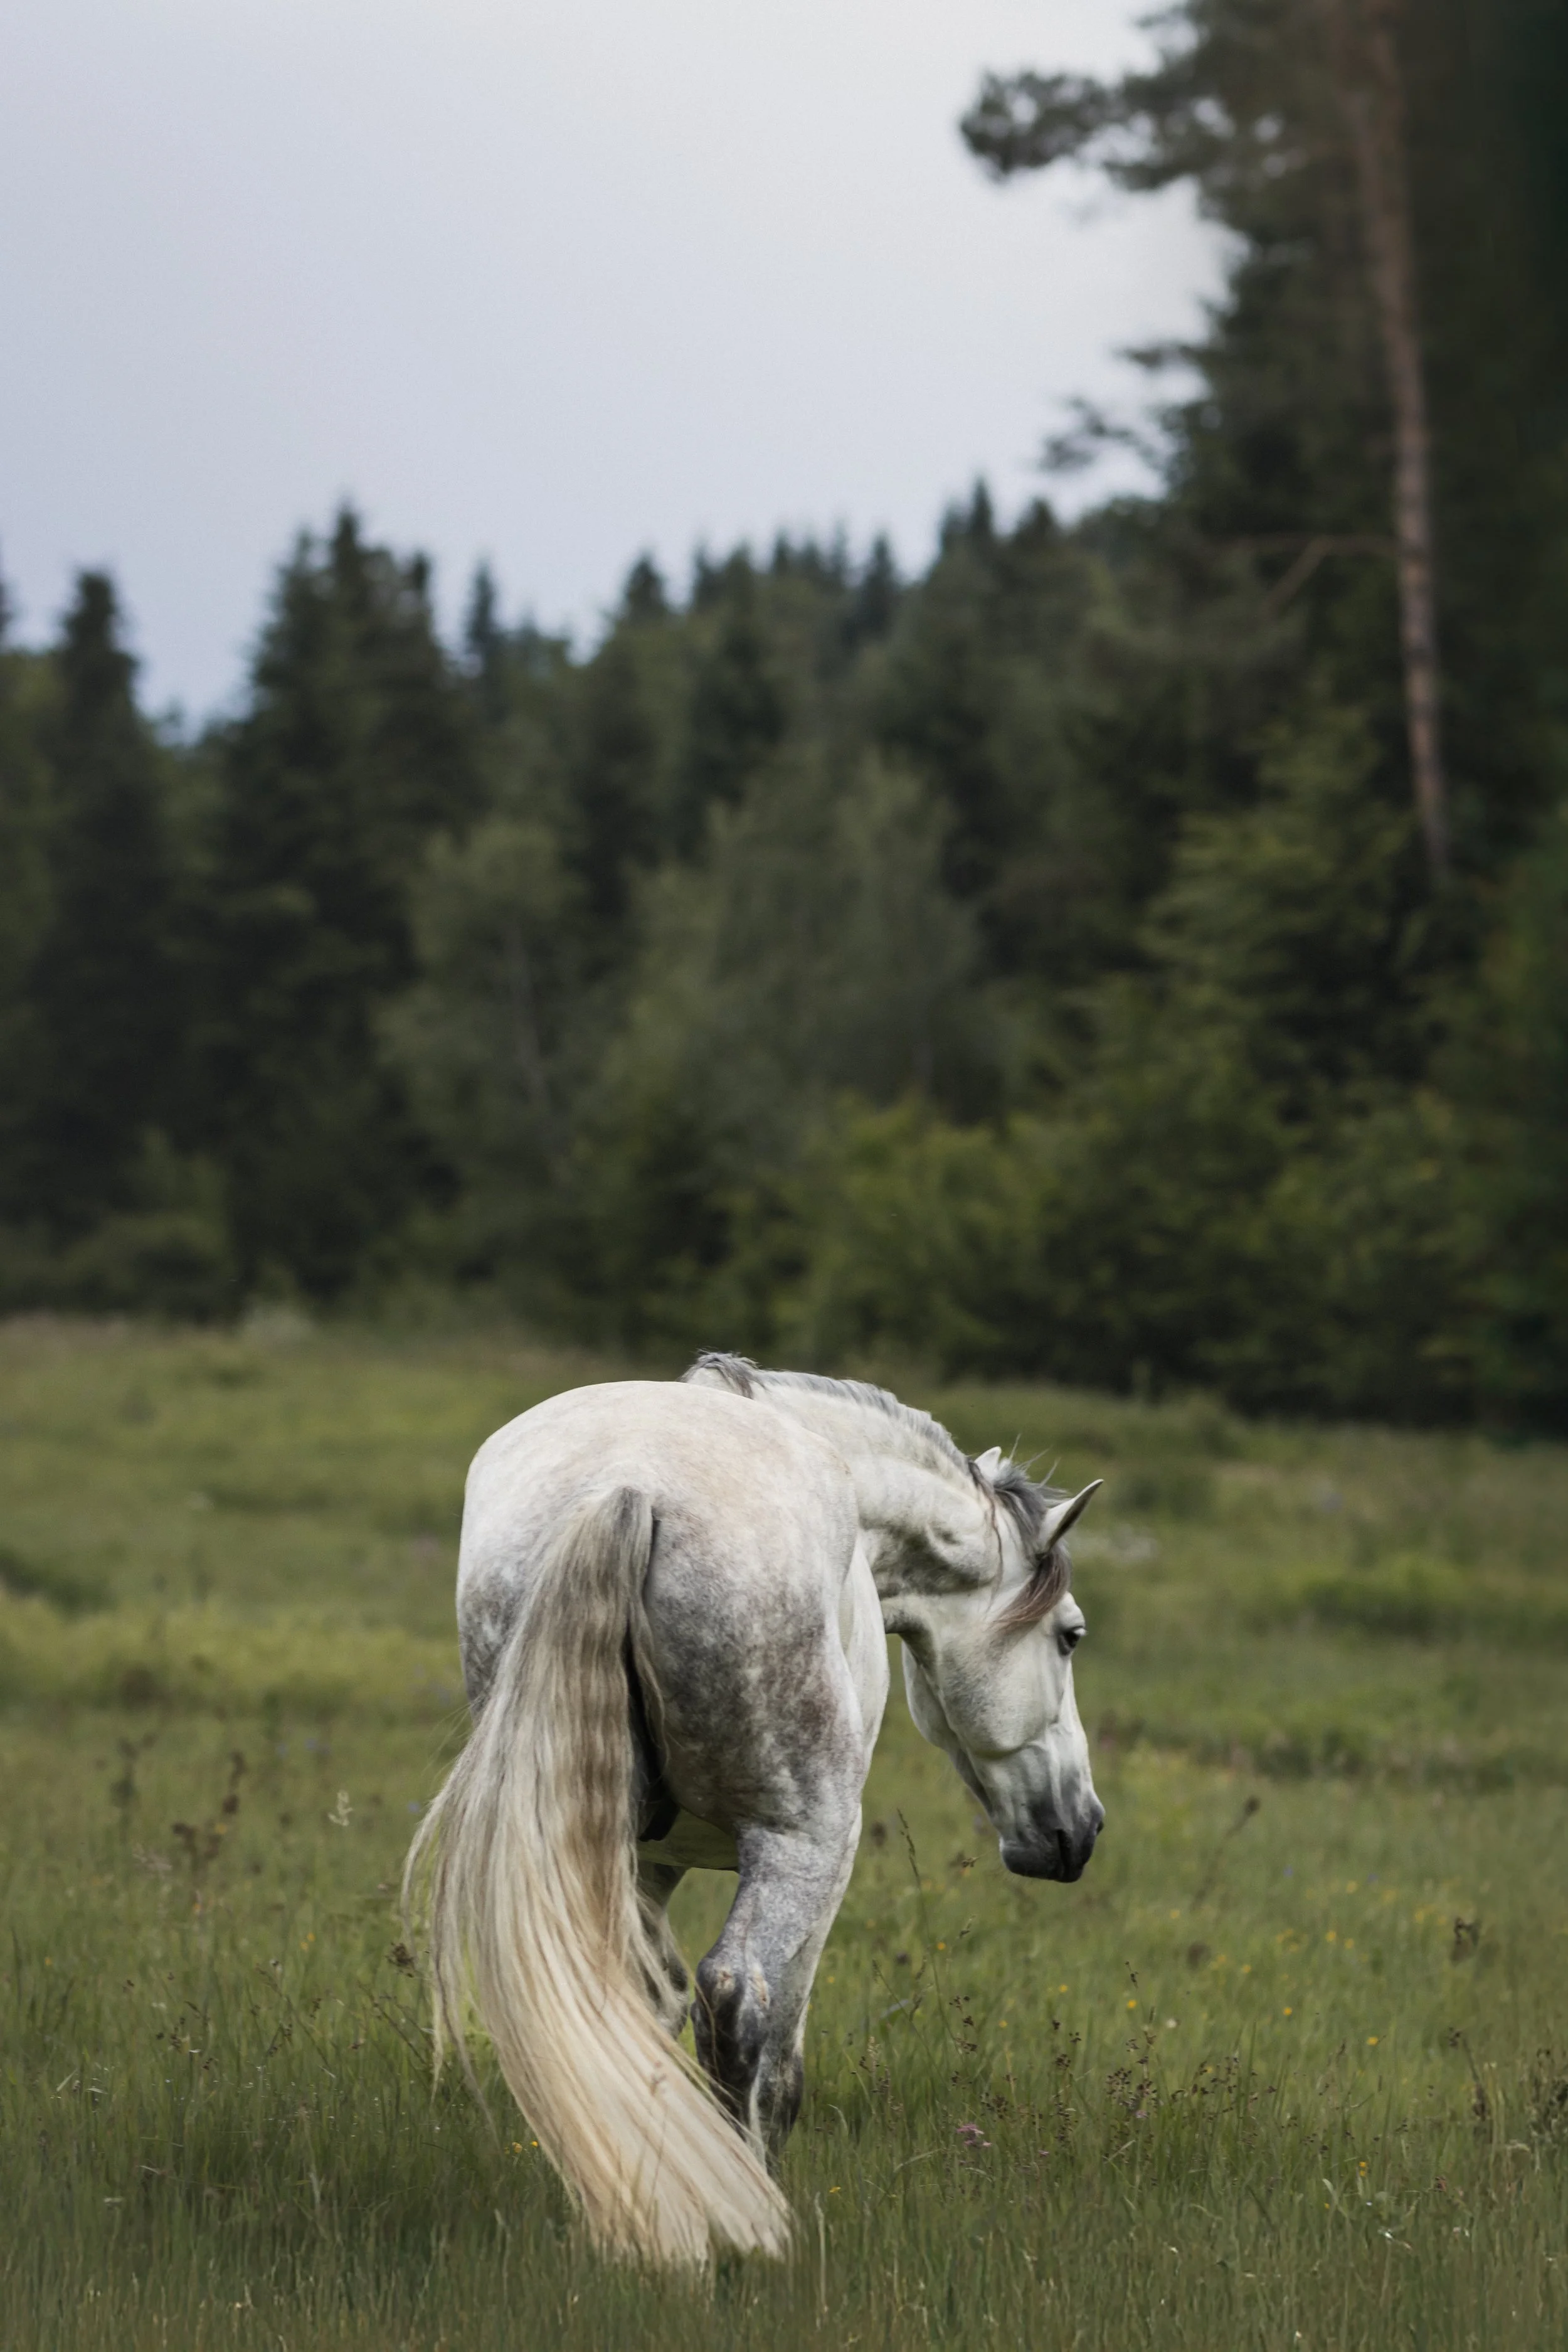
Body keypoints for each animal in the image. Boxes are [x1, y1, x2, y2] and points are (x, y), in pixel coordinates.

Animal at [404, 1352, 1103, 2266]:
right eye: (1070, 1634)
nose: (1079, 1829)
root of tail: (629, 1488)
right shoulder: (820, 1860)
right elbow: (780, 2055)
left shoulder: (649, 1862)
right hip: (803, 1846)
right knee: (737, 2003)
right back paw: (749, 2219)